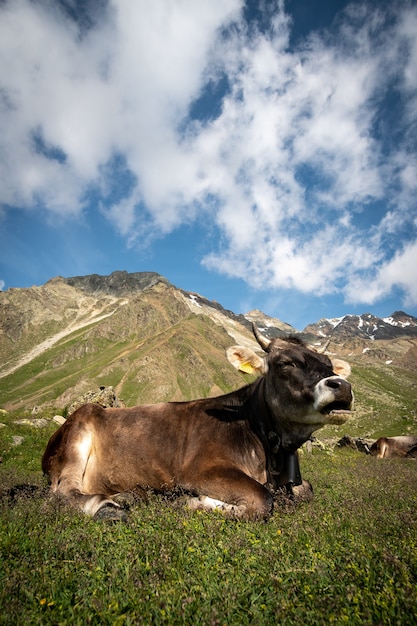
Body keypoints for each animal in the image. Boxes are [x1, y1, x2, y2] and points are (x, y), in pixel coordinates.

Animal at [41, 324, 352, 520]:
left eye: (328, 365)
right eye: (286, 363)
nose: (343, 387)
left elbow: (307, 490)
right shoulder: (200, 470)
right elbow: (262, 500)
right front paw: (193, 502)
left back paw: (129, 496)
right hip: (77, 435)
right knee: (62, 492)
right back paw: (106, 507)